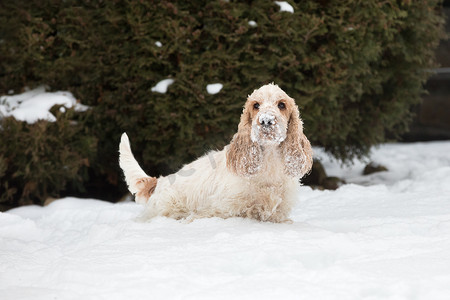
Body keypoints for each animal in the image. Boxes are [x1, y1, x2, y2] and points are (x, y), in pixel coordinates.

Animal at [118, 83, 312, 221]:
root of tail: (159, 181)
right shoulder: (221, 209)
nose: (266, 121)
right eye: (256, 105)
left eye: (282, 105)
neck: (269, 160)